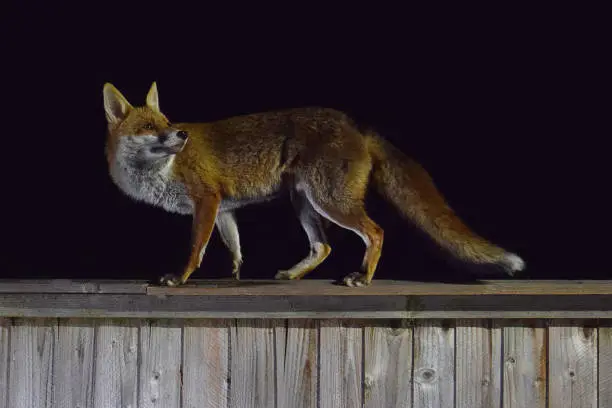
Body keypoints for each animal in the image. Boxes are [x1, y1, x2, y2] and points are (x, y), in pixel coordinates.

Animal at [103, 82, 524, 286]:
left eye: (168, 123)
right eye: (150, 127)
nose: (182, 135)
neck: (161, 172)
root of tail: (355, 124)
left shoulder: (206, 199)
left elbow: (195, 249)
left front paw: (180, 278)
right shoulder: (223, 209)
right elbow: (235, 249)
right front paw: (233, 278)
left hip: (330, 201)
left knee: (376, 231)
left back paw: (363, 277)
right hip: (303, 202)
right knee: (322, 247)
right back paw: (294, 274)